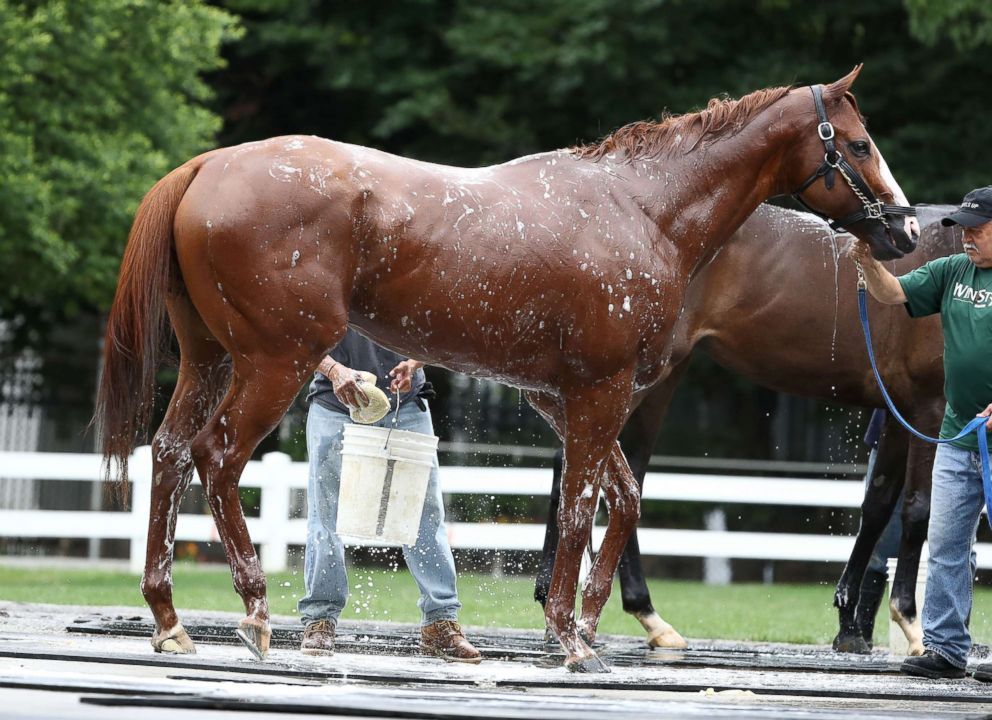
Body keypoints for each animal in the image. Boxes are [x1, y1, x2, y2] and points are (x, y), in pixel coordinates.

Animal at [540, 201, 956, 652]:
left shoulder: (897, 411)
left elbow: (877, 505)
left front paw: (848, 619)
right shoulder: (928, 407)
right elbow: (918, 509)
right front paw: (912, 623)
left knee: (616, 475)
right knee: (584, 472)